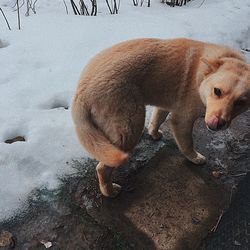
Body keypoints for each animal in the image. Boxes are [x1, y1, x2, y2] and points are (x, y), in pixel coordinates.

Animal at [72, 38, 250, 197]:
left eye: (241, 102)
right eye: (217, 91)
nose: (217, 124)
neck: (201, 76)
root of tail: (81, 92)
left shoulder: (165, 105)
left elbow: (157, 120)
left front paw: (154, 134)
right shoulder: (182, 119)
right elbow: (187, 144)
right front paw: (195, 158)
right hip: (131, 126)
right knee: (102, 168)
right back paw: (110, 192)